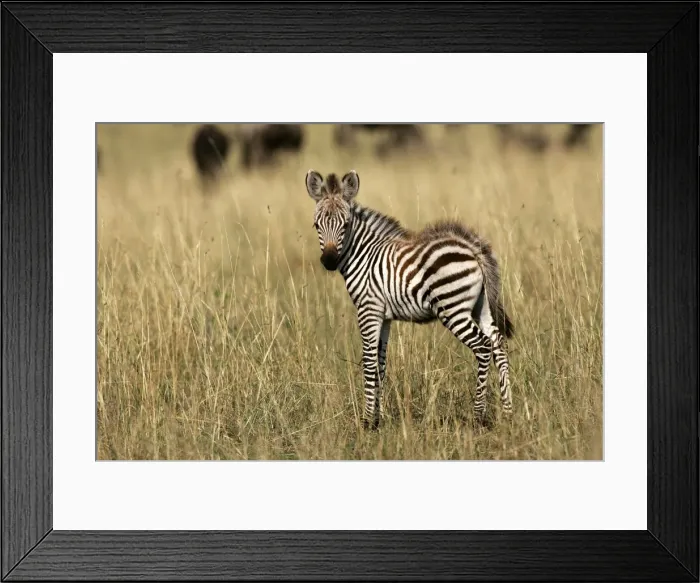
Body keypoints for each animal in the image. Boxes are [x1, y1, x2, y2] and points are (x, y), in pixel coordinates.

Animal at [305, 169, 515, 430]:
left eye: (345, 224)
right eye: (316, 225)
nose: (330, 261)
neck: (363, 255)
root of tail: (471, 248)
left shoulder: (368, 309)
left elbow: (368, 363)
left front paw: (366, 421)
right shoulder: (383, 316)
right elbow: (380, 364)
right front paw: (378, 419)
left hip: (452, 308)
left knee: (483, 346)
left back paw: (478, 416)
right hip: (481, 306)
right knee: (498, 345)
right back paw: (508, 412)